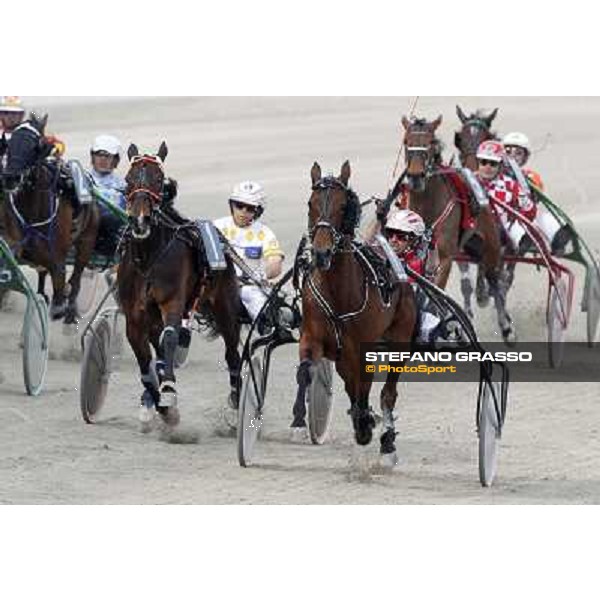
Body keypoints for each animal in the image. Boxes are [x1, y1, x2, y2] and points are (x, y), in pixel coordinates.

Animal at [0, 116, 101, 324]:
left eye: (35, 146)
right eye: (9, 144)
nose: (10, 177)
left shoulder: (58, 254)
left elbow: (59, 279)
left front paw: (61, 303)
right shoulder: (14, 243)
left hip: (87, 240)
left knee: (77, 277)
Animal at [118, 142, 243, 428]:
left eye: (158, 179)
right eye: (128, 180)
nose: (140, 221)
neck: (148, 258)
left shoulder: (172, 302)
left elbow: (171, 338)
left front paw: (168, 392)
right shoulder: (134, 314)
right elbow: (145, 360)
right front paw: (161, 405)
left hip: (224, 306)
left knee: (232, 353)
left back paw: (235, 406)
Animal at [292, 162, 418, 466]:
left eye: (341, 206)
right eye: (311, 203)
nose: (321, 253)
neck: (338, 293)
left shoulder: (362, 347)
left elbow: (365, 389)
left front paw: (366, 425)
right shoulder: (312, 337)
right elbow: (305, 373)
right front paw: (300, 422)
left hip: (400, 337)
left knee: (388, 392)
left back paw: (385, 440)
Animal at [404, 115, 516, 344]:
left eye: (430, 142)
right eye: (405, 142)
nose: (415, 176)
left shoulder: (446, 258)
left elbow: (436, 294)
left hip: (490, 243)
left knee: (494, 279)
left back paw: (506, 326)